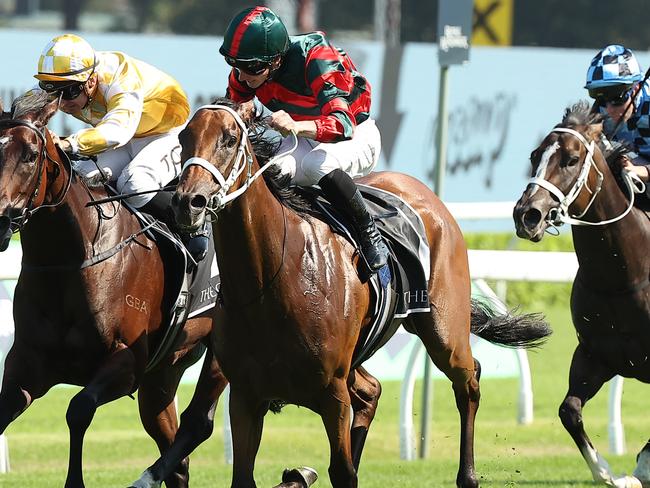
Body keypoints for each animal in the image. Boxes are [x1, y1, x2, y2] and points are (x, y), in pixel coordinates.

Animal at [0, 92, 228, 488]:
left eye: (30, 155)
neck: (72, 259)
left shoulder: (126, 362)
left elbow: (78, 409)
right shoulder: (26, 364)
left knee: (198, 423)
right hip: (162, 375)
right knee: (175, 451)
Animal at [162, 99, 548, 488]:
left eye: (229, 138)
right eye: (183, 138)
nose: (187, 202)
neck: (271, 280)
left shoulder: (332, 393)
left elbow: (342, 472)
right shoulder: (245, 395)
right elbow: (244, 475)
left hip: (443, 333)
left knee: (468, 382)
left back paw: (467, 475)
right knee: (373, 390)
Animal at [512, 101, 648, 486]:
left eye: (572, 159)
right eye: (534, 155)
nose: (527, 215)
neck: (621, 279)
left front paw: (642, 466)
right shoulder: (594, 355)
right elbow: (568, 410)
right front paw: (609, 474)